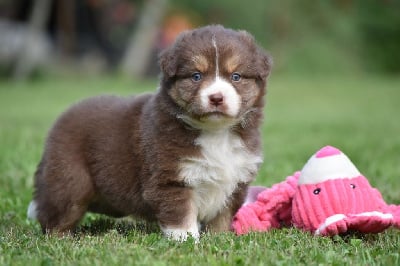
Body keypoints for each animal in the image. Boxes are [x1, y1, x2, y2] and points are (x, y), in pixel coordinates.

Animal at [27, 25, 272, 241]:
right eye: (196, 76)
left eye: (236, 77)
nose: (216, 98)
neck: (215, 132)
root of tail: (62, 118)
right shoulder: (170, 178)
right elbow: (181, 216)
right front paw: (186, 241)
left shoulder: (235, 180)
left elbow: (221, 218)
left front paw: (219, 239)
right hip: (70, 181)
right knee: (56, 216)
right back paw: (61, 238)